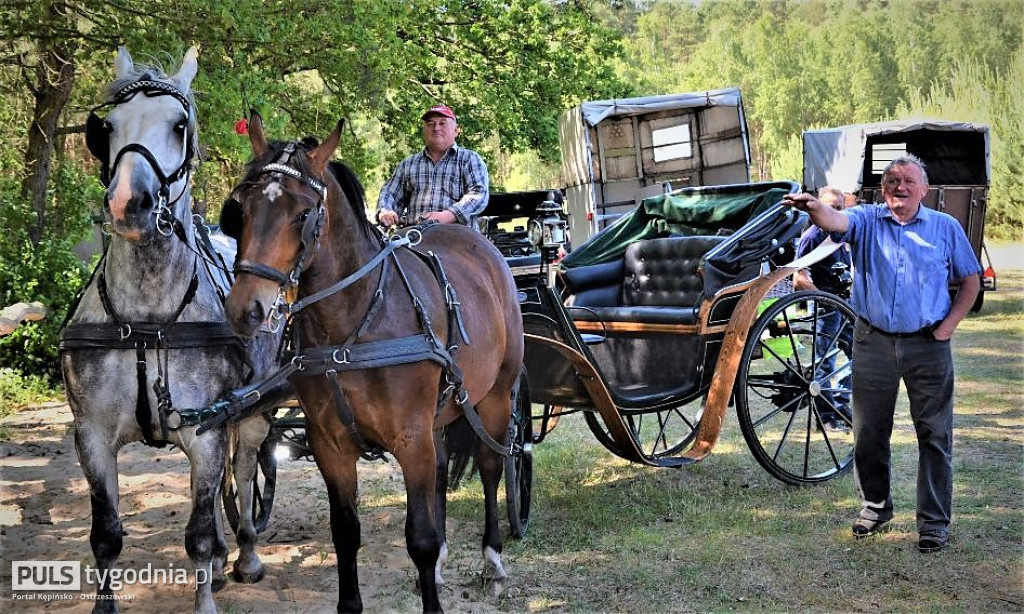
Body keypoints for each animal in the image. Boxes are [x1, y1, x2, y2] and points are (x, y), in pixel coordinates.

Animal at [60, 46, 280, 609]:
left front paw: (207, 596)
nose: (128, 203)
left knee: (244, 469)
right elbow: (106, 535)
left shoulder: (206, 432)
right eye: (107, 126)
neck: (145, 323)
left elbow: (198, 531)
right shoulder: (91, 435)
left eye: (179, 125)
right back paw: (224, 561)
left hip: (252, 412)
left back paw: (245, 554)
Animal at [223, 112, 524, 609]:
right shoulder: (330, 444)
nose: (247, 309)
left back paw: (494, 560)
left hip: (496, 396)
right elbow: (346, 533)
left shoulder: (411, 438)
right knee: (442, 469)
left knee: (490, 465)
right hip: (438, 415)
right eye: (241, 211)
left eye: (303, 214)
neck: (354, 325)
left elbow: (419, 538)